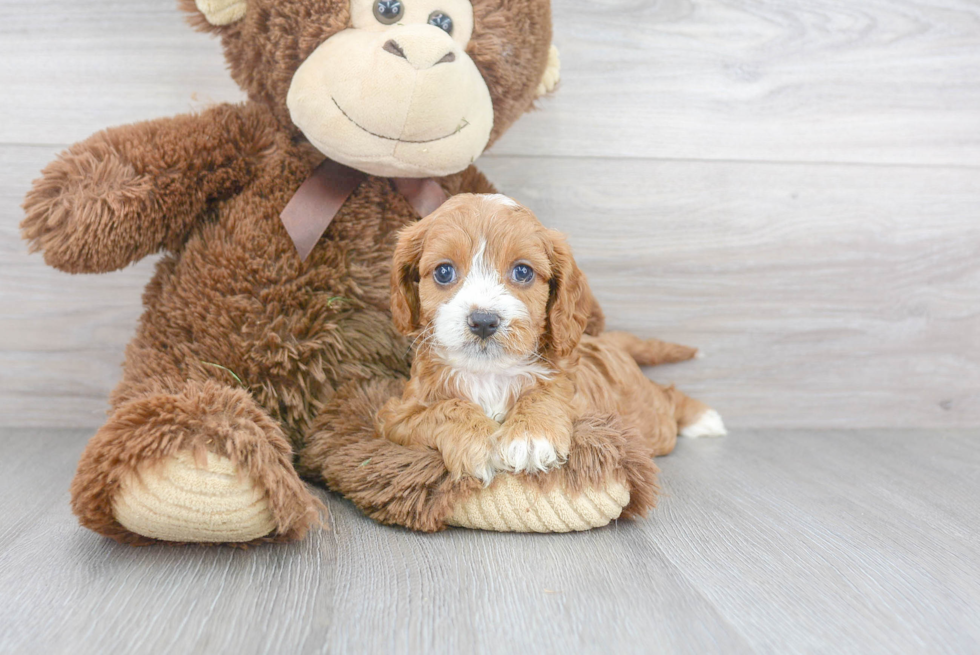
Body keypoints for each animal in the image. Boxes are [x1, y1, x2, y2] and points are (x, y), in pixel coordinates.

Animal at [378, 192, 728, 484]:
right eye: (444, 272)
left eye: (522, 272)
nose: (483, 321)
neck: (490, 372)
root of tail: (608, 341)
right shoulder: (398, 417)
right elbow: (445, 409)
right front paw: (480, 443)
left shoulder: (574, 391)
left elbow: (547, 392)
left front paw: (531, 436)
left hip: (647, 419)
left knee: (666, 398)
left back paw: (702, 418)